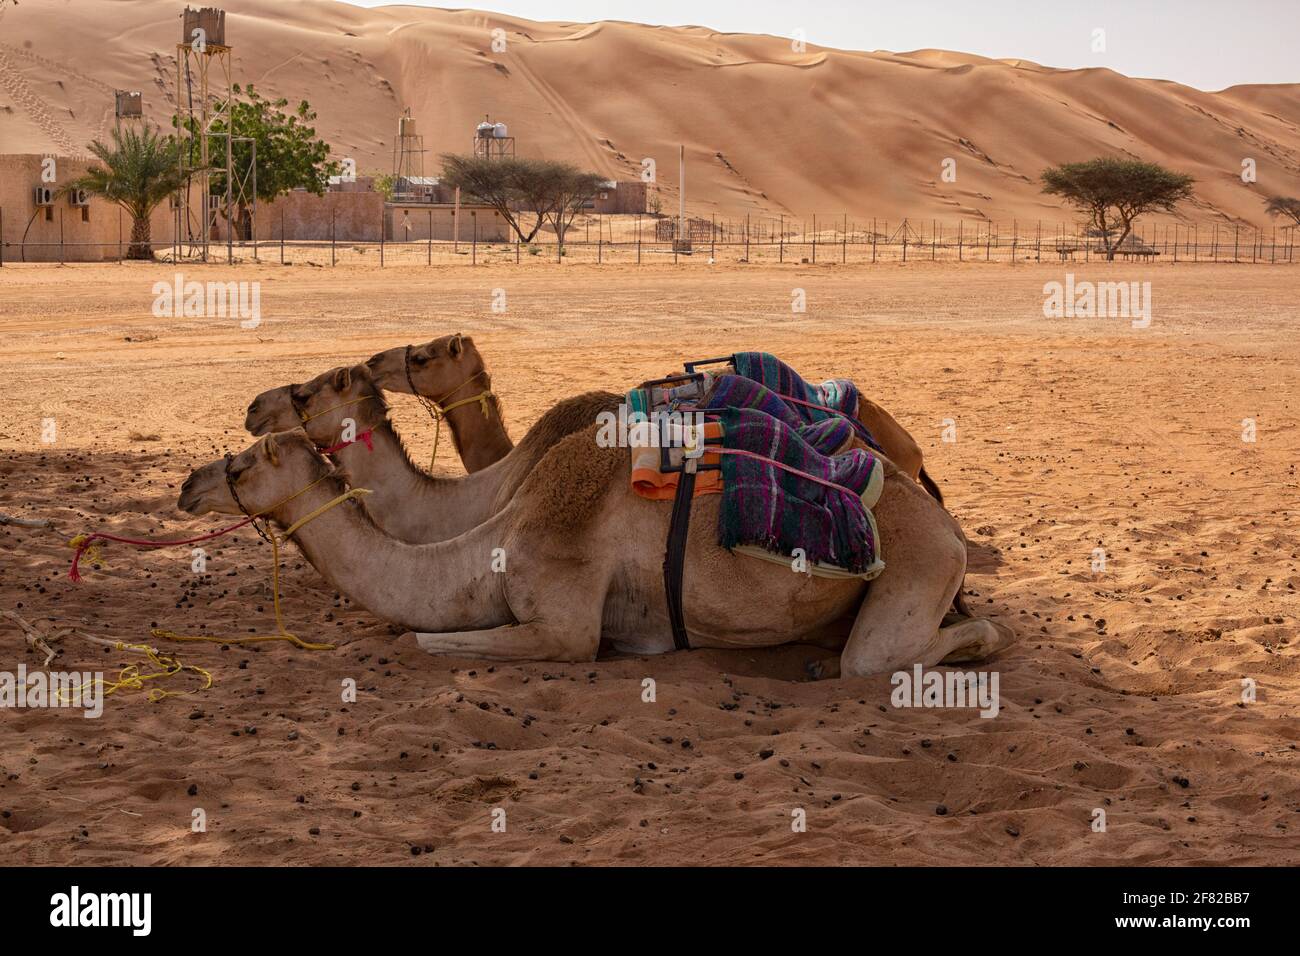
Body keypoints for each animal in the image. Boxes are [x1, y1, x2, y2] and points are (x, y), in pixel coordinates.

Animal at [175, 426, 1013, 681]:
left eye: (243, 464)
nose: (187, 484)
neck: (494, 541)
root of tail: (943, 519)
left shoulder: (565, 622)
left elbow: (423, 638)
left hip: (919, 563)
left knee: (884, 656)